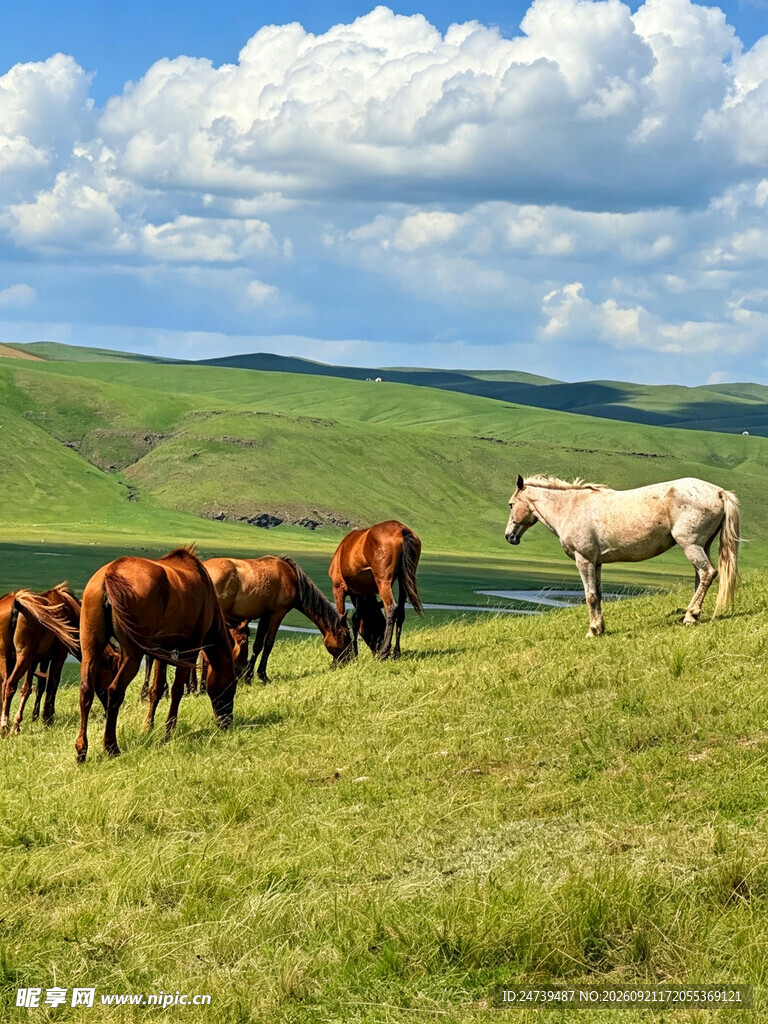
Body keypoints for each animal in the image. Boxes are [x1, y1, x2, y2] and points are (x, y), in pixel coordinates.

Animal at [76, 547, 237, 762]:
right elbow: (176, 690)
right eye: (232, 686)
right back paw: (111, 746)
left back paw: (81, 750)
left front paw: (148, 727)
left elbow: (156, 689)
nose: (226, 722)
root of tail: (111, 573)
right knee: (115, 690)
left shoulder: (162, 650)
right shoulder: (190, 649)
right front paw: (168, 732)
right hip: (132, 655)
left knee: (86, 691)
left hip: (91, 648)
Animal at [203, 556, 351, 683]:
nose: (348, 661)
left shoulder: (265, 616)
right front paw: (263, 676)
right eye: (345, 637)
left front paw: (249, 677)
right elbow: (269, 644)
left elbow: (258, 645)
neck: (292, 578)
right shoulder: (277, 614)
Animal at [329, 520, 423, 659]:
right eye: (379, 624)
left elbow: (343, 617)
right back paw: (396, 652)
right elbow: (356, 619)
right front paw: (355, 652)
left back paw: (384, 652)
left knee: (391, 608)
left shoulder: (338, 588)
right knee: (400, 612)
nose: (377, 647)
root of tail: (402, 530)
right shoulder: (361, 593)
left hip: (383, 581)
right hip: (404, 579)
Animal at [505, 475, 740, 637]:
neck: (571, 507)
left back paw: (691, 615)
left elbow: (590, 596)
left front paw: (592, 630)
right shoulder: (596, 563)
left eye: (510, 504)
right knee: (700, 577)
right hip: (702, 546)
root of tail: (719, 492)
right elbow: (598, 595)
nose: (509, 536)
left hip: (690, 545)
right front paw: (600, 628)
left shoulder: (584, 560)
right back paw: (693, 613)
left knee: (707, 573)